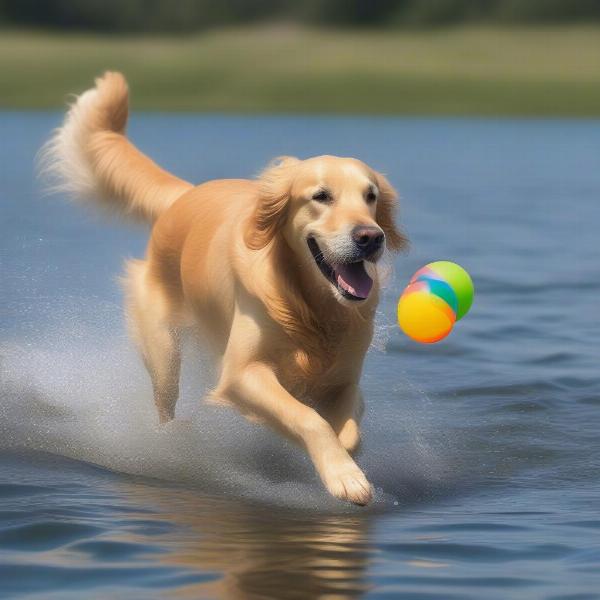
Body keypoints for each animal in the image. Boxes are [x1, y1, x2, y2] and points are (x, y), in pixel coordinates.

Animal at [41, 72, 408, 504]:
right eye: (321, 196)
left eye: (371, 196)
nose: (371, 237)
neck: (307, 304)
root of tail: (185, 194)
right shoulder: (241, 372)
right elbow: (308, 419)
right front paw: (345, 477)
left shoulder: (344, 379)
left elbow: (348, 431)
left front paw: (342, 460)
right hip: (163, 350)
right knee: (165, 405)